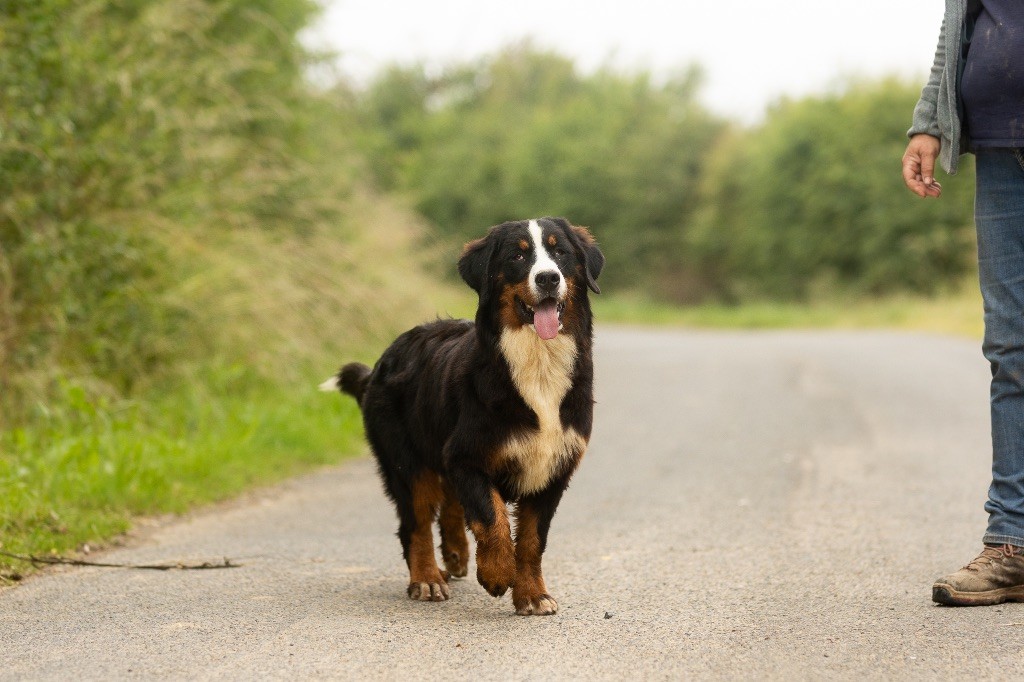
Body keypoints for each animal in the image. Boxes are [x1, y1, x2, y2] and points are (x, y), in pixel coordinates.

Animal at [319, 218, 602, 614]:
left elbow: (532, 540)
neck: (538, 366)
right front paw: (498, 573)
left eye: (559, 250)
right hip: (406, 463)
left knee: (450, 504)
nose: (548, 278)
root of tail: (381, 361)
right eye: (518, 255)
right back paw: (427, 578)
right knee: (416, 524)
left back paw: (455, 554)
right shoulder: (468, 454)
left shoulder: (553, 468)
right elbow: (491, 517)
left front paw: (532, 594)